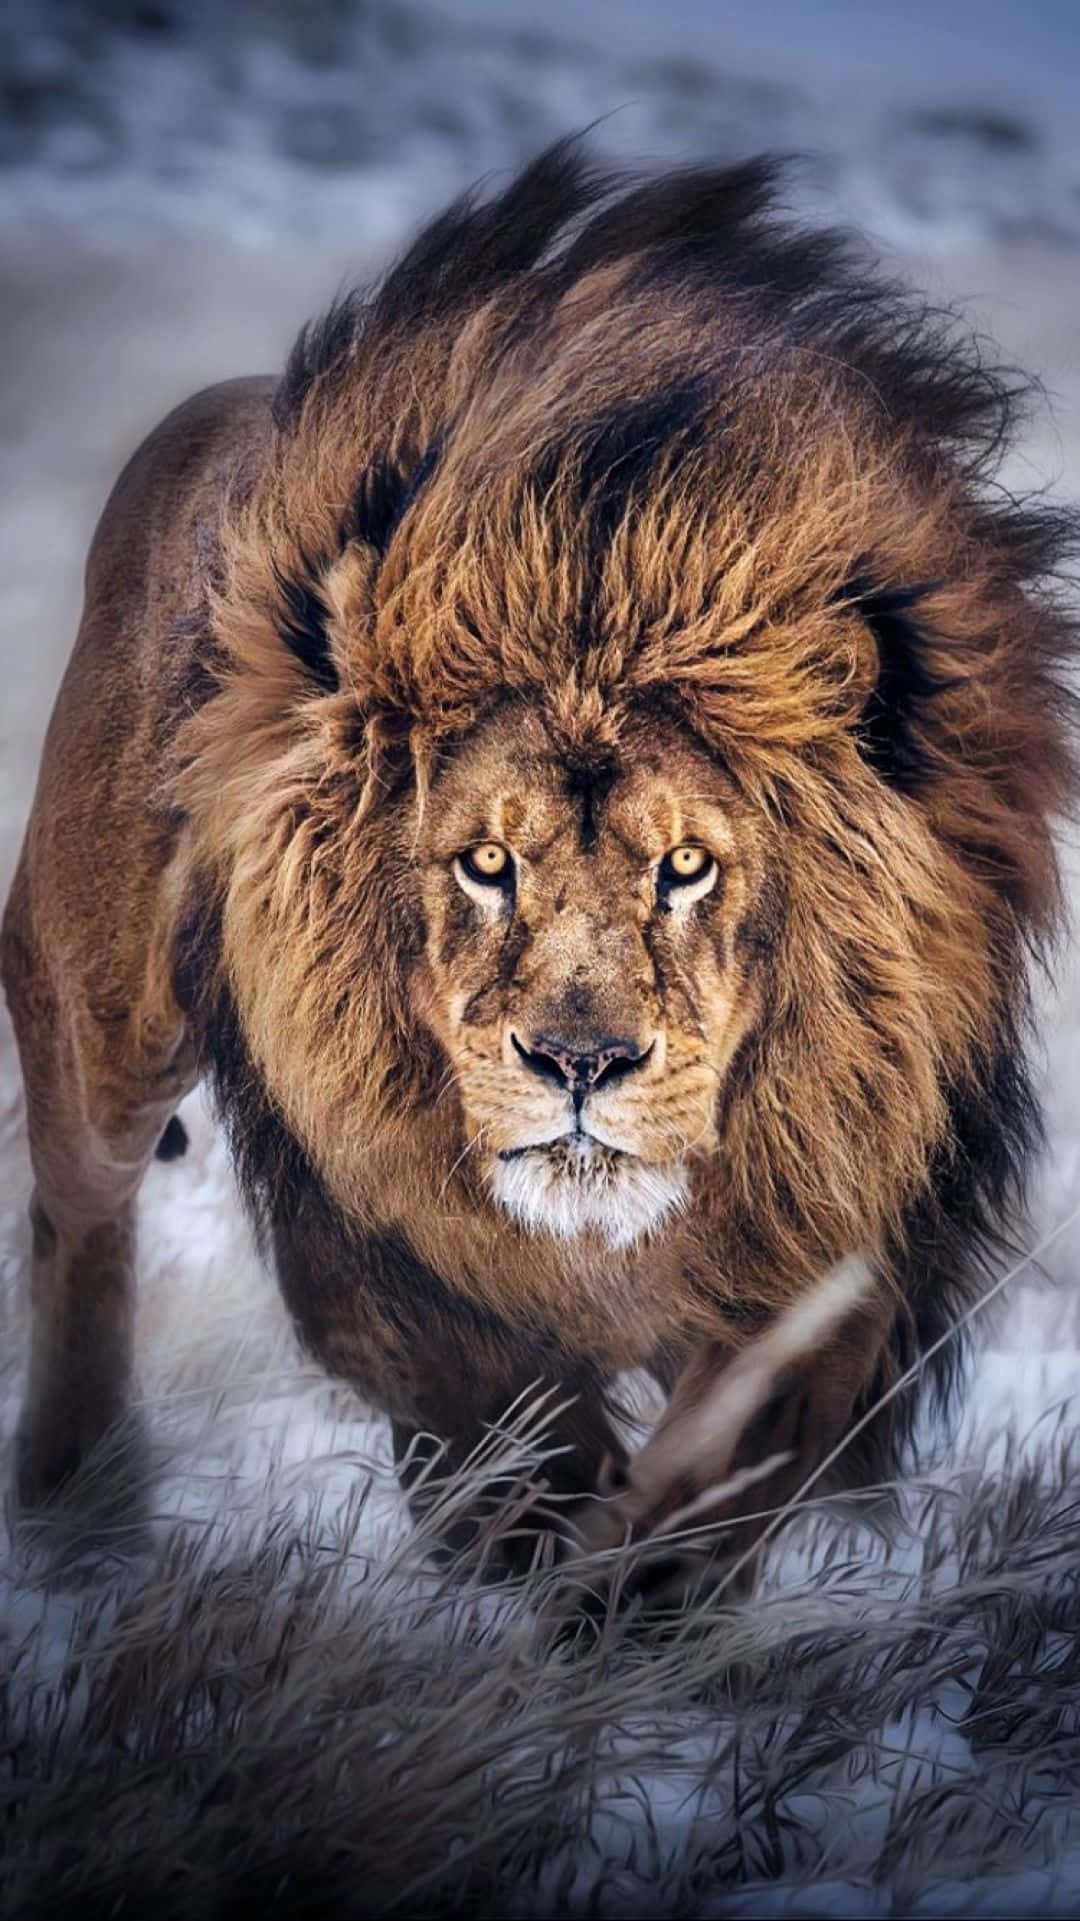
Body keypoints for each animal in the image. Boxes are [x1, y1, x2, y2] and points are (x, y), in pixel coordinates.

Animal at [3, 142, 1076, 1582]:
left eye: (687, 865)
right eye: (483, 861)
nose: (580, 1063)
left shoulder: (847, 1234)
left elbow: (706, 1487)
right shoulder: (382, 1245)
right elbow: (512, 1449)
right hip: (102, 1017)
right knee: (78, 1213)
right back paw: (78, 1512)